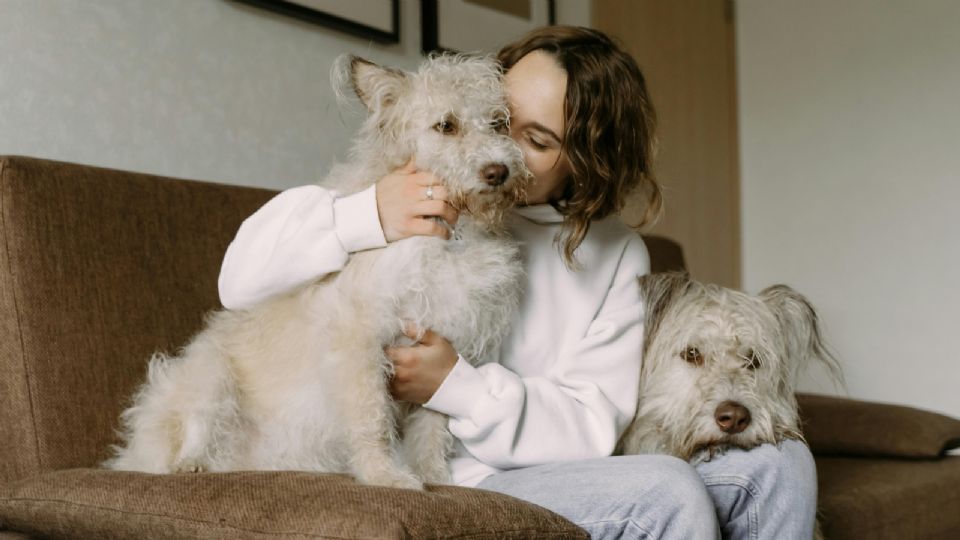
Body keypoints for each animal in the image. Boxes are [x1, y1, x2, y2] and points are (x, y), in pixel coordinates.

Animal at [109, 53, 536, 490]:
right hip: (207, 369)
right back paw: (190, 462)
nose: (499, 172)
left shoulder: (448, 346)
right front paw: (383, 474)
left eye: (498, 123)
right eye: (446, 125)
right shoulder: (358, 338)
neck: (451, 233)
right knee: (194, 423)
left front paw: (435, 477)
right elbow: (371, 417)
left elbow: (432, 428)